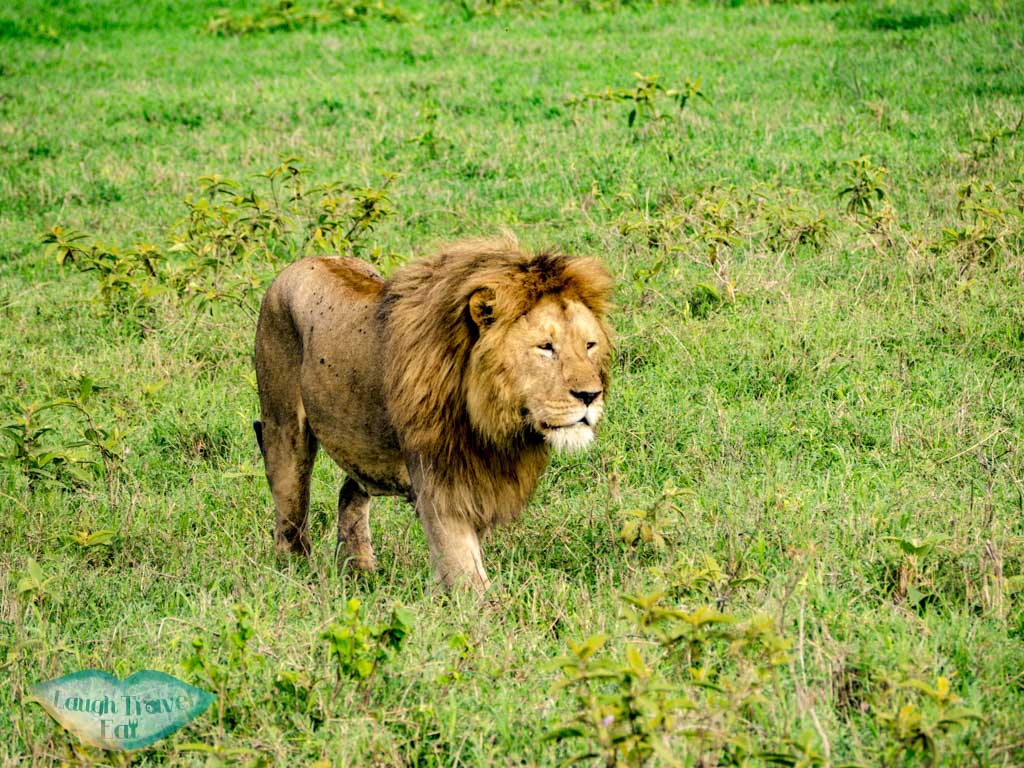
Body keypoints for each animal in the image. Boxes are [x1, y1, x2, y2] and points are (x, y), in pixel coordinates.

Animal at [253, 234, 613, 590]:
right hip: (285, 428)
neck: (491, 421)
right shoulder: (440, 484)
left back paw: (359, 569)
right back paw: (295, 570)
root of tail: (300, 263)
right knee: (290, 506)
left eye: (589, 345)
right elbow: (465, 570)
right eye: (545, 347)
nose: (590, 395)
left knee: (351, 489)